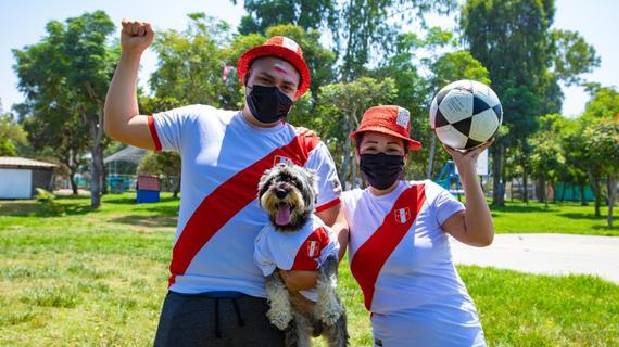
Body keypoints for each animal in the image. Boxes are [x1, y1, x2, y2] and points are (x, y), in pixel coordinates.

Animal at [256, 165, 348, 347]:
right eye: (272, 181)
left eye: (294, 181)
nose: (281, 191)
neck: (290, 229)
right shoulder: (267, 262)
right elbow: (275, 290)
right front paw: (280, 315)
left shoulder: (328, 253)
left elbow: (327, 282)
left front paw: (330, 310)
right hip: (298, 330)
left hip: (338, 330)